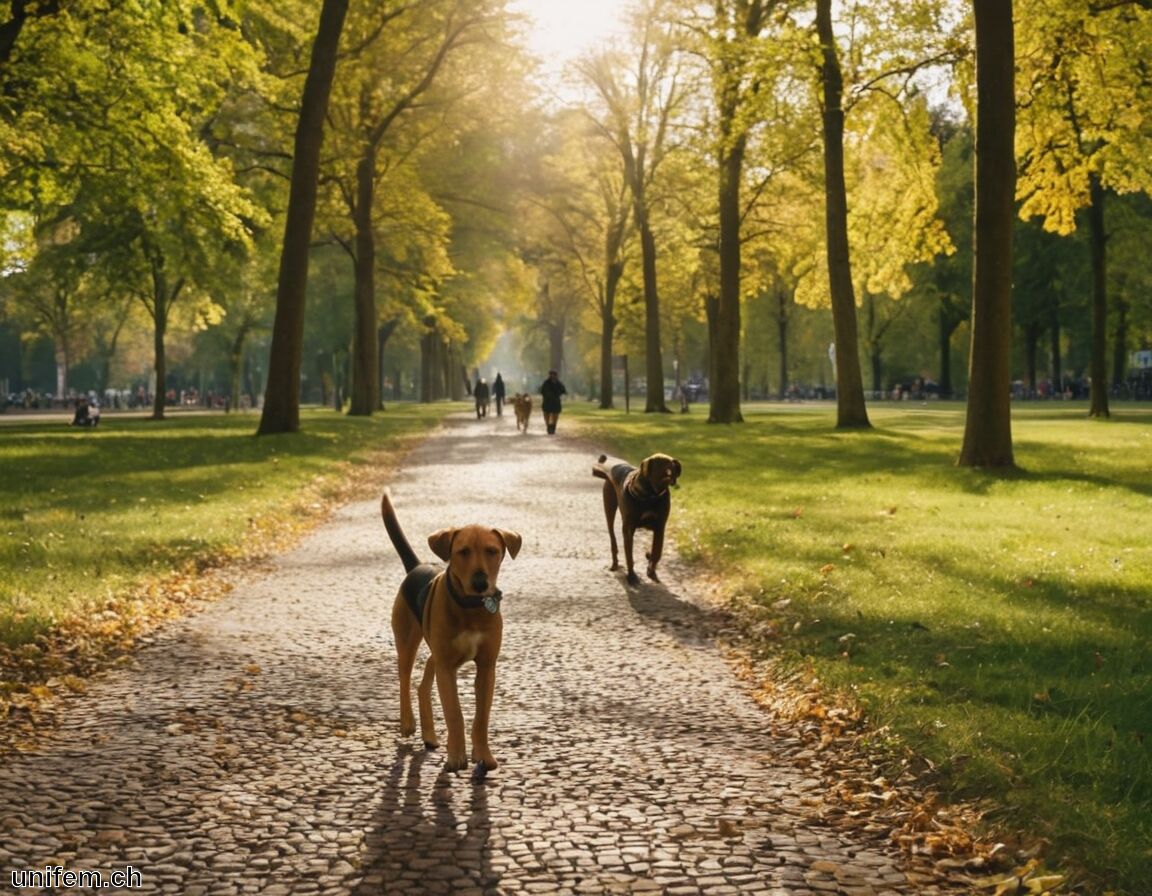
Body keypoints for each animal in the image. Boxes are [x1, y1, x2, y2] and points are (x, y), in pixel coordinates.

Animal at [382, 488, 523, 773]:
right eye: (463, 551)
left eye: (492, 551)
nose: (480, 583)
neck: (470, 607)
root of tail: (416, 565)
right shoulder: (447, 667)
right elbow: (454, 713)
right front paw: (457, 756)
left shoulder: (486, 666)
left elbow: (481, 717)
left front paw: (484, 755)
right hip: (407, 639)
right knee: (405, 679)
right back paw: (408, 723)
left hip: (437, 652)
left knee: (423, 684)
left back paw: (429, 735)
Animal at [594, 453, 681, 587]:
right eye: (663, 471)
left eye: (673, 469)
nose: (672, 478)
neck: (650, 496)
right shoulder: (628, 529)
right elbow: (629, 555)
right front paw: (631, 576)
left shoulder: (660, 527)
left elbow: (657, 552)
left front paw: (651, 570)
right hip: (609, 511)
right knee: (613, 540)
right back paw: (614, 564)